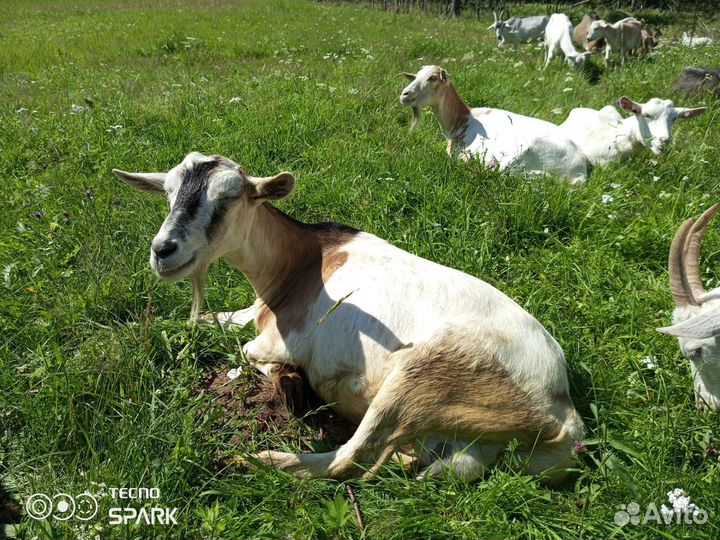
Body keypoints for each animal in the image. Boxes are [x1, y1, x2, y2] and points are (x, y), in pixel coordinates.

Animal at [113, 151, 585, 482]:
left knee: (348, 459)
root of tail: (563, 414)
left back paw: (253, 459)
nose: (163, 251)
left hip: (423, 375)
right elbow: (200, 320)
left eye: (229, 197)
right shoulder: (255, 312)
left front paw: (289, 381)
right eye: (168, 193)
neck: (299, 262)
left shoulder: (279, 336)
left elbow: (249, 351)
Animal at [400, 65, 589, 186]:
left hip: (524, 151)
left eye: (432, 78)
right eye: (416, 75)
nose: (404, 94)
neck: (464, 119)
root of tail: (581, 169)